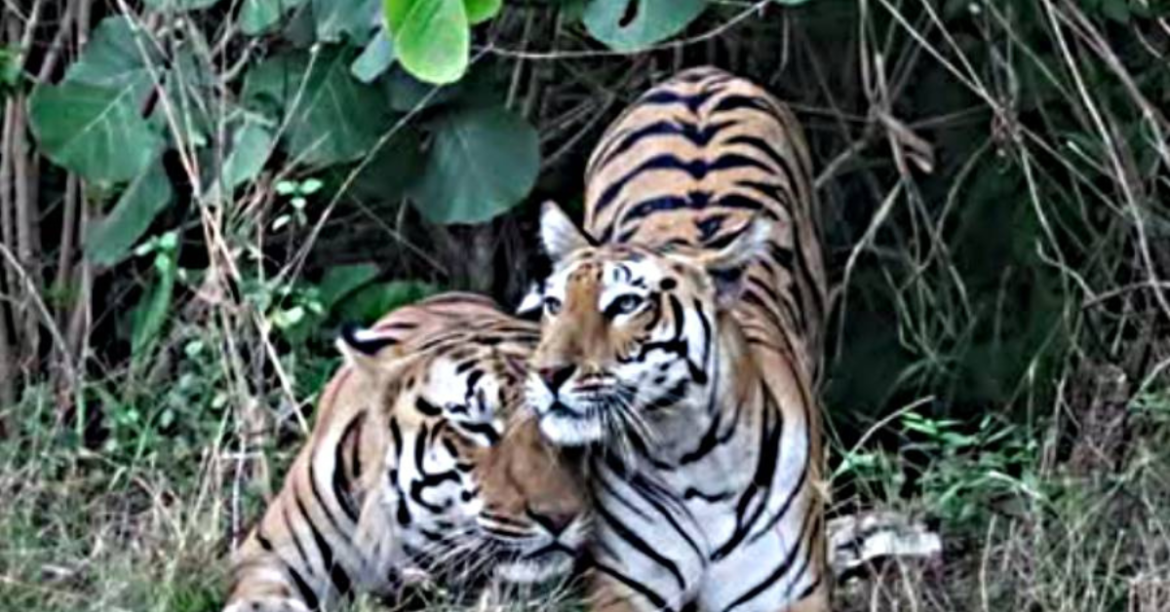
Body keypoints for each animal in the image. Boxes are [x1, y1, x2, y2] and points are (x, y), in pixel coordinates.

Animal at [521, 66, 830, 612]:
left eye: (625, 305)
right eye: (554, 305)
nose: (549, 373)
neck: (693, 459)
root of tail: (700, 76)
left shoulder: (789, 591)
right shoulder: (624, 585)